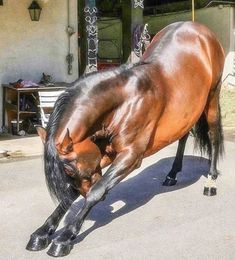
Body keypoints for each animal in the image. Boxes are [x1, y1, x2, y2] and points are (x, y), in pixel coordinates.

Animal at [26, 21, 224, 256]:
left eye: (70, 170)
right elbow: (73, 192)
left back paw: (211, 181)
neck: (123, 101)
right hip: (188, 111)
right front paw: (43, 231)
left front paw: (65, 237)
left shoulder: (130, 156)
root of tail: (198, 28)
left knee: (213, 135)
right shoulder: (103, 154)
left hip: (212, 97)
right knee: (183, 136)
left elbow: (97, 189)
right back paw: (172, 174)